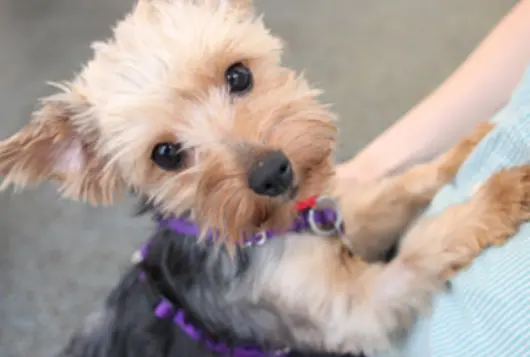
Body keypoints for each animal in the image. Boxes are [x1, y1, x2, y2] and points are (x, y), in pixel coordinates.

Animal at [1, 0, 528, 356]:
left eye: (238, 75)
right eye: (165, 154)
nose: (273, 173)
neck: (269, 232)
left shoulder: (337, 215)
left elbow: (402, 186)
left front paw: (468, 146)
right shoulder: (352, 311)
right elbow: (420, 251)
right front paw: (496, 197)